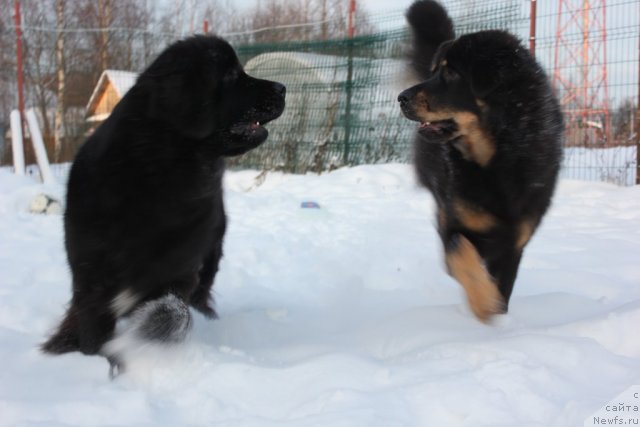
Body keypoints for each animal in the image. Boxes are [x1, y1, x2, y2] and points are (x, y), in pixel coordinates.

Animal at [398, 0, 564, 320]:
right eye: (434, 71)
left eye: (450, 74)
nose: (401, 98)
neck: (497, 158)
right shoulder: (453, 226)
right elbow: (461, 254)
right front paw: (483, 306)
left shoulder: (515, 243)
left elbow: (502, 288)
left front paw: (494, 313)